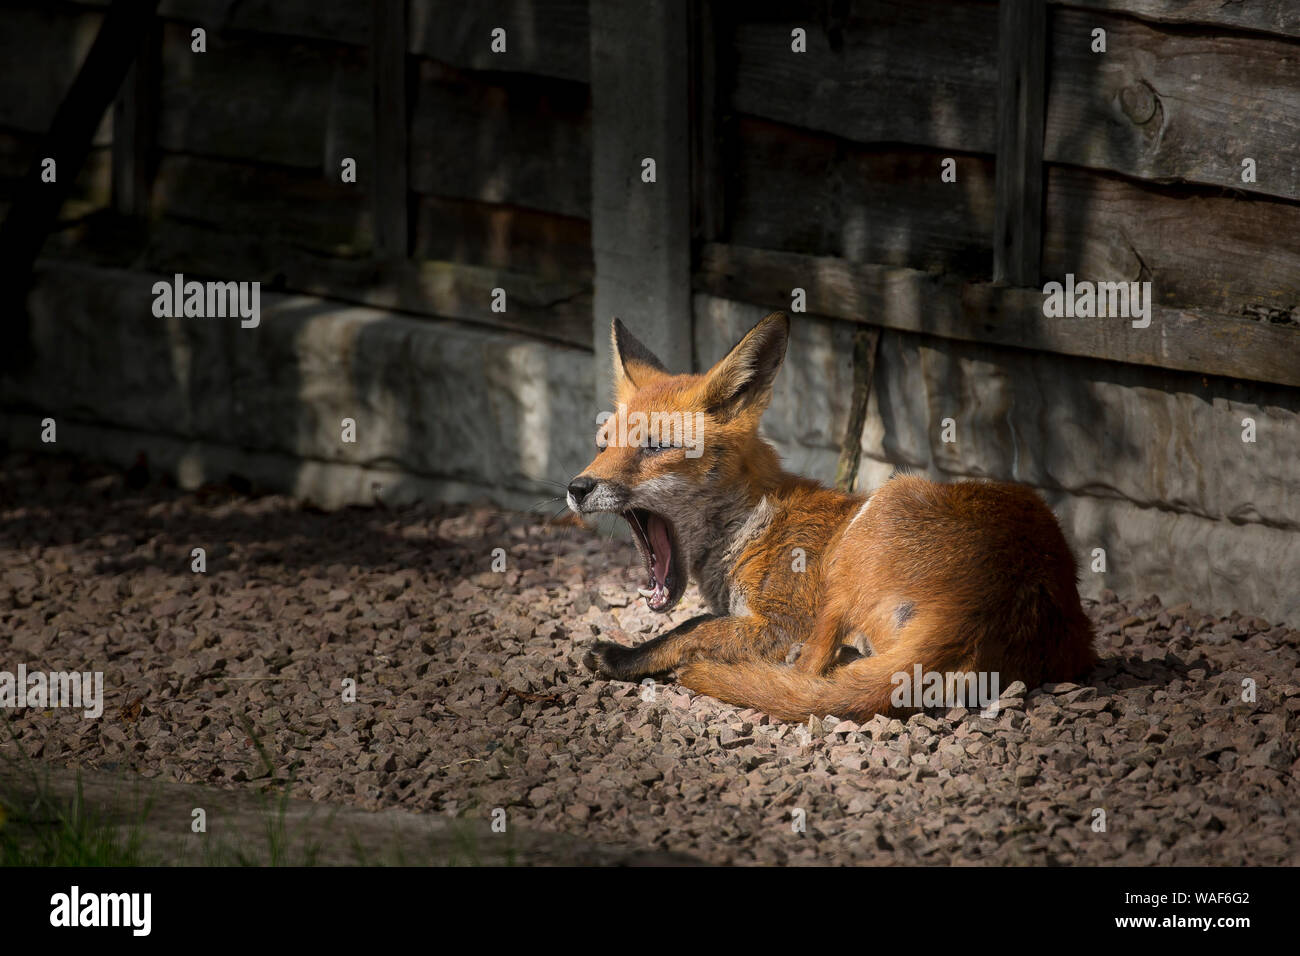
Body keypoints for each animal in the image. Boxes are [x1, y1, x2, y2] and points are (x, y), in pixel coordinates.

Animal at [569, 314, 1097, 723]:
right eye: (602, 445)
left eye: (657, 446)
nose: (576, 488)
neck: (753, 526)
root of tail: (985, 597)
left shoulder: (784, 621)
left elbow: (693, 627)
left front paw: (624, 657)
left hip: (876, 514)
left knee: (810, 671)